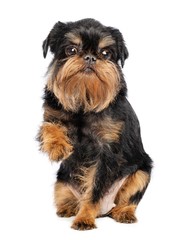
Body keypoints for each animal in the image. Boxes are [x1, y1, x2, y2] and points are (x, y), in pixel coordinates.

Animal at [37, 17, 152, 230]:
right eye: (71, 50)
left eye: (106, 53)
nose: (90, 57)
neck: (84, 102)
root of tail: (105, 211)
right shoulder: (51, 116)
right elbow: (49, 127)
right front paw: (57, 146)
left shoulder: (105, 152)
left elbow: (94, 191)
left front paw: (85, 218)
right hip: (61, 181)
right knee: (66, 195)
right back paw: (68, 207)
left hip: (143, 171)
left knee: (128, 200)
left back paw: (123, 213)